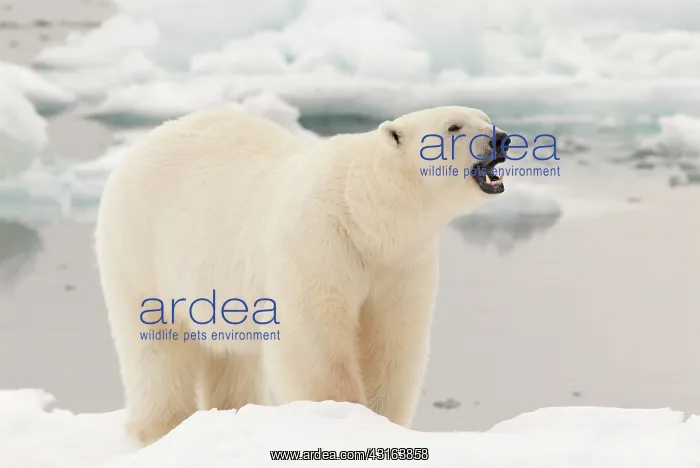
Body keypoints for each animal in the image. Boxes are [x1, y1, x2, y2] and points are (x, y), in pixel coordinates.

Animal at [95, 105, 510, 445]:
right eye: (454, 126)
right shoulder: (318, 243)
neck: (362, 215)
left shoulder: (401, 265)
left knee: (232, 356)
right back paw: (160, 427)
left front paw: (382, 420)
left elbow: (391, 342)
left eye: (485, 117)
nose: (501, 137)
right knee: (155, 348)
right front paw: (341, 413)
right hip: (139, 250)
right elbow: (315, 340)